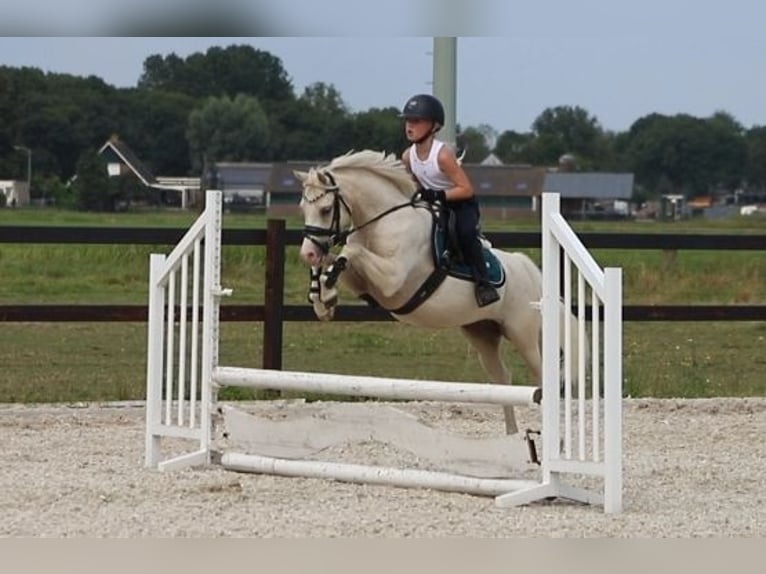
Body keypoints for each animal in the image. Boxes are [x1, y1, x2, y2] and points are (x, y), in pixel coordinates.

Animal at [296, 151, 552, 434]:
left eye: (325, 209)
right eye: (303, 208)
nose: (307, 252)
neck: (382, 222)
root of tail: (525, 265)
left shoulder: (391, 279)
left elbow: (349, 253)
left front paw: (326, 291)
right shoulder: (363, 281)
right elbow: (336, 261)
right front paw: (323, 299)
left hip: (522, 333)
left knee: (541, 376)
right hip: (482, 333)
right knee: (503, 378)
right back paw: (511, 434)